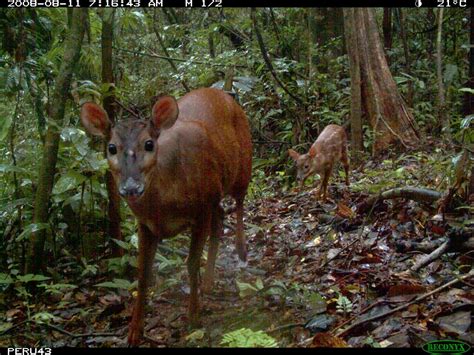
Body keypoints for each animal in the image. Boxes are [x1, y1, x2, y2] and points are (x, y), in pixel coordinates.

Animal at [79, 87, 254, 346]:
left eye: (149, 143)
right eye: (111, 148)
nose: (131, 187)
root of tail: (222, 93)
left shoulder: (200, 209)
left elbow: (191, 263)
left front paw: (193, 317)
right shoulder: (145, 224)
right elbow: (143, 274)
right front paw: (134, 331)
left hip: (242, 166)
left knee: (240, 202)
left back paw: (241, 251)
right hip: (216, 193)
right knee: (220, 220)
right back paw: (209, 283)